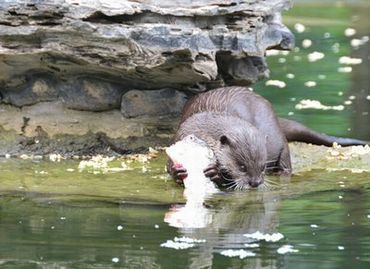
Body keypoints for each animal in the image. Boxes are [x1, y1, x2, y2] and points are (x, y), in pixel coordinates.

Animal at [169, 87, 368, 187]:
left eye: (263, 166)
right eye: (242, 167)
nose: (256, 183)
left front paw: (217, 174)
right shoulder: (178, 136)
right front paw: (177, 172)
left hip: (281, 142)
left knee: (286, 162)